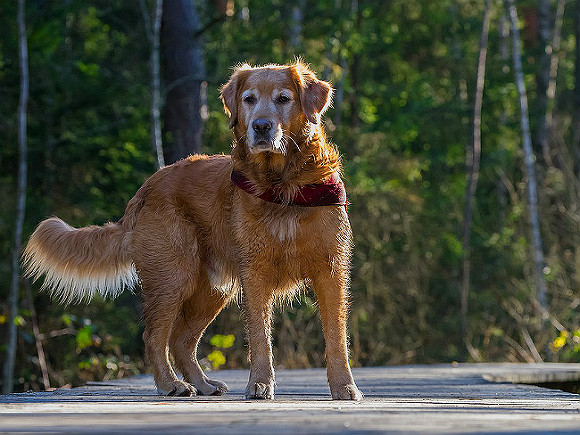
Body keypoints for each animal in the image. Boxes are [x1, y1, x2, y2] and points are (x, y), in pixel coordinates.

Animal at [23, 61, 362, 402]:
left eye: (283, 98)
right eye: (249, 99)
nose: (261, 127)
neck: (283, 184)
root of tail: (146, 188)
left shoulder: (330, 269)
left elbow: (336, 335)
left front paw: (344, 385)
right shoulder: (255, 272)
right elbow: (259, 336)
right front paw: (260, 384)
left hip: (211, 290)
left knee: (181, 340)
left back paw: (202, 383)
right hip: (174, 276)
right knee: (155, 336)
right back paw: (170, 383)